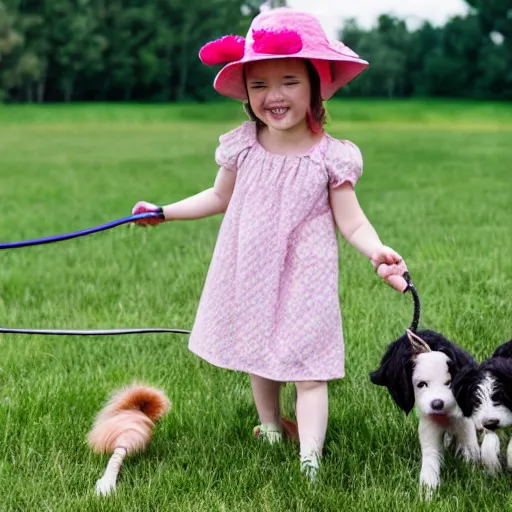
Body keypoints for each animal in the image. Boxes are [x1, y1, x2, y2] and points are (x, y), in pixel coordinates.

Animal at [368, 328, 480, 500]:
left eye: (449, 383)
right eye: (421, 384)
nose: (437, 403)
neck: (444, 416)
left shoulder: (465, 428)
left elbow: (471, 455)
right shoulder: (430, 433)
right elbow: (430, 465)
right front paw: (427, 495)